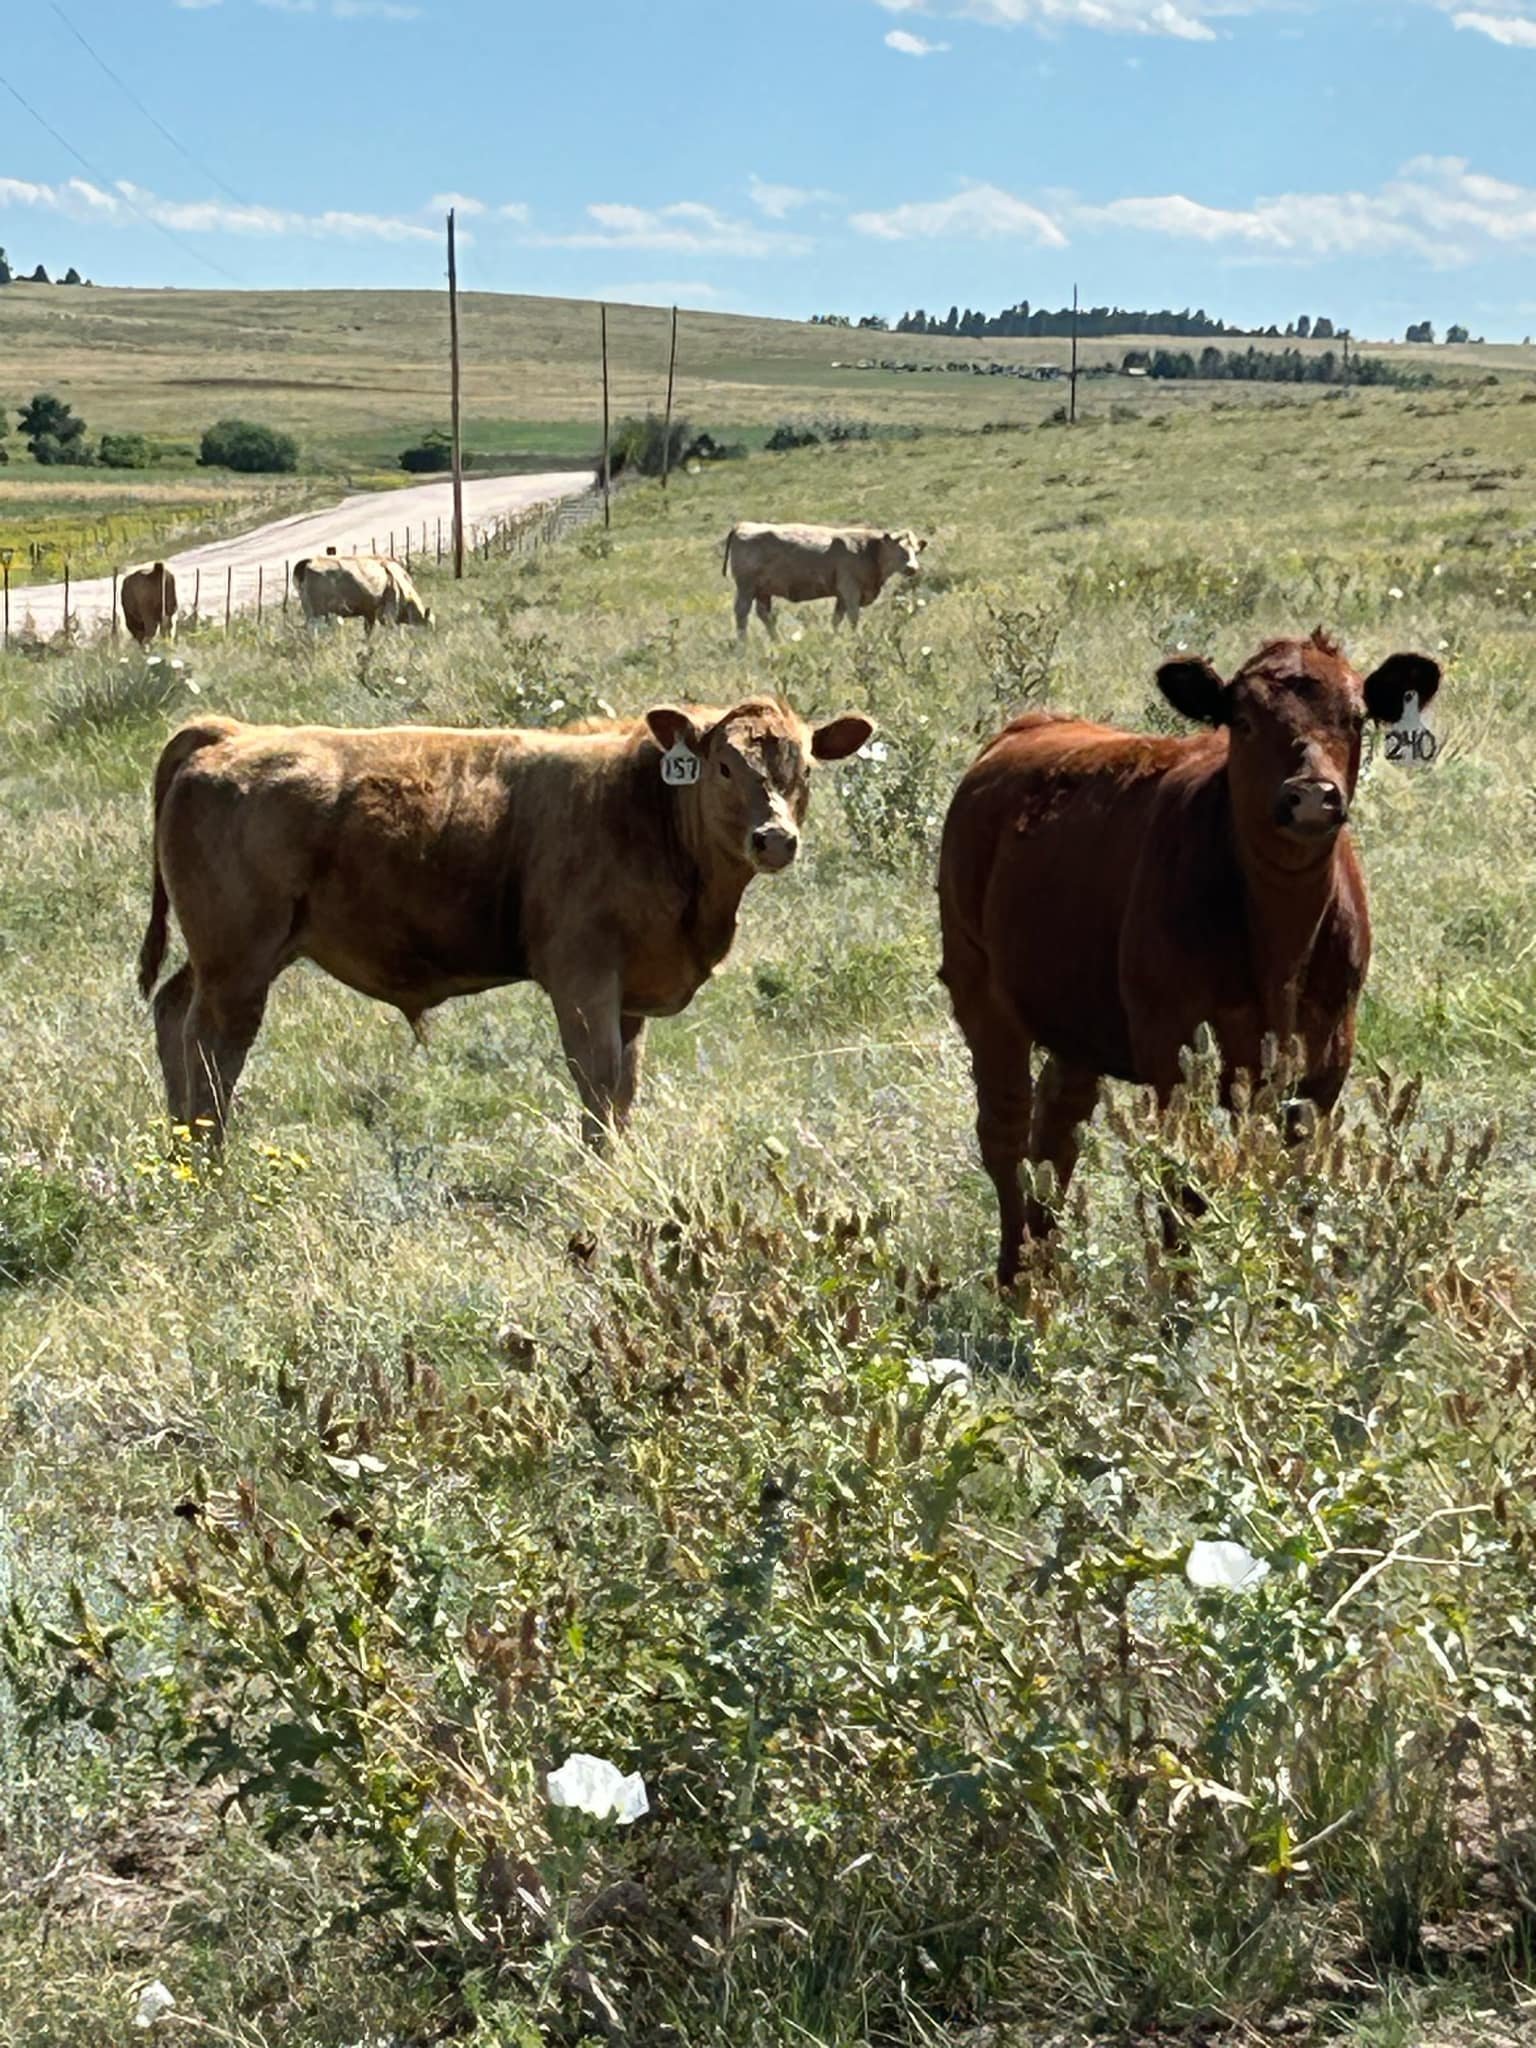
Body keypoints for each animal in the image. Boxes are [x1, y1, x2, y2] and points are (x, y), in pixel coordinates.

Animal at [137, 695, 874, 1147]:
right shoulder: (582, 978)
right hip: (238, 961)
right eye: (723, 766)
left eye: (805, 768)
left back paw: (180, 1151)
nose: (774, 839)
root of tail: (231, 734)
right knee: (212, 1048)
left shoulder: (630, 993)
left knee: (172, 1012)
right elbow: (598, 1082)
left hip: (219, 957)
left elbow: (624, 1089)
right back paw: (209, 1159)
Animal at [292, 553, 433, 633]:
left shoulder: (370, 612)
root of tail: (308, 562)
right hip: (318, 614)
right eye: (430, 626)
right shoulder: (389, 610)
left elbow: (368, 632)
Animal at [722, 522, 926, 640]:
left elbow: (836, 619)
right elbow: (853, 617)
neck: (868, 549)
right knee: (742, 613)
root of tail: (743, 525)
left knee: (765, 614)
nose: (913, 568)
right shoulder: (851, 591)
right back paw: (743, 645)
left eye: (916, 550)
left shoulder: (842, 595)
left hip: (763, 590)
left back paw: (777, 642)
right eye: (898, 550)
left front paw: (833, 639)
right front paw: (857, 639)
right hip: (746, 587)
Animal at [937, 630, 1442, 1286]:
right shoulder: (1171, 1044)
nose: (1311, 795)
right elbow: (1185, 1184)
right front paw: (1183, 1297)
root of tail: (1024, 729)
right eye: (1243, 721)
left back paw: (1046, 1264)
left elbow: (1297, 1184)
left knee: (1056, 1127)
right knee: (1005, 1129)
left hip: (1077, 1013)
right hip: (978, 986)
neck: (1280, 946)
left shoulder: (1327, 1052)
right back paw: (1016, 1277)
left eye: (1355, 718)